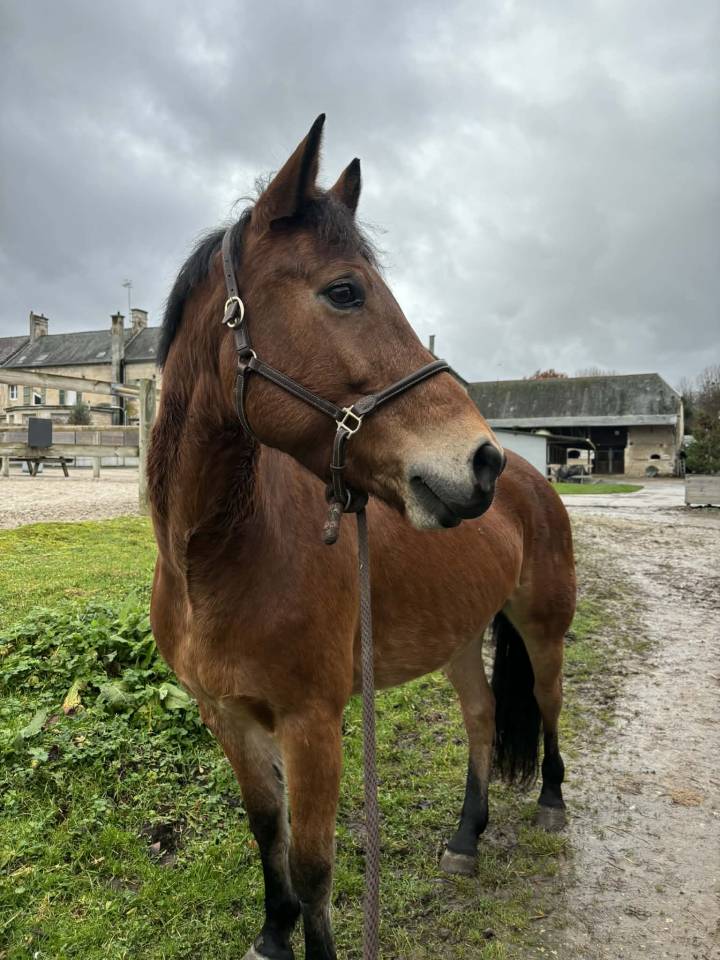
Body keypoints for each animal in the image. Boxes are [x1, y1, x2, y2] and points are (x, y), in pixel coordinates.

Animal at [147, 115, 576, 960]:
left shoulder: (314, 724)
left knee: (546, 703)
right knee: (481, 718)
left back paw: (549, 800)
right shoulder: (229, 718)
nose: (476, 463)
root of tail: (531, 475)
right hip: (457, 635)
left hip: (542, 630)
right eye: (344, 292)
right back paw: (467, 838)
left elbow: (314, 867)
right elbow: (267, 834)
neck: (217, 562)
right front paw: (272, 934)